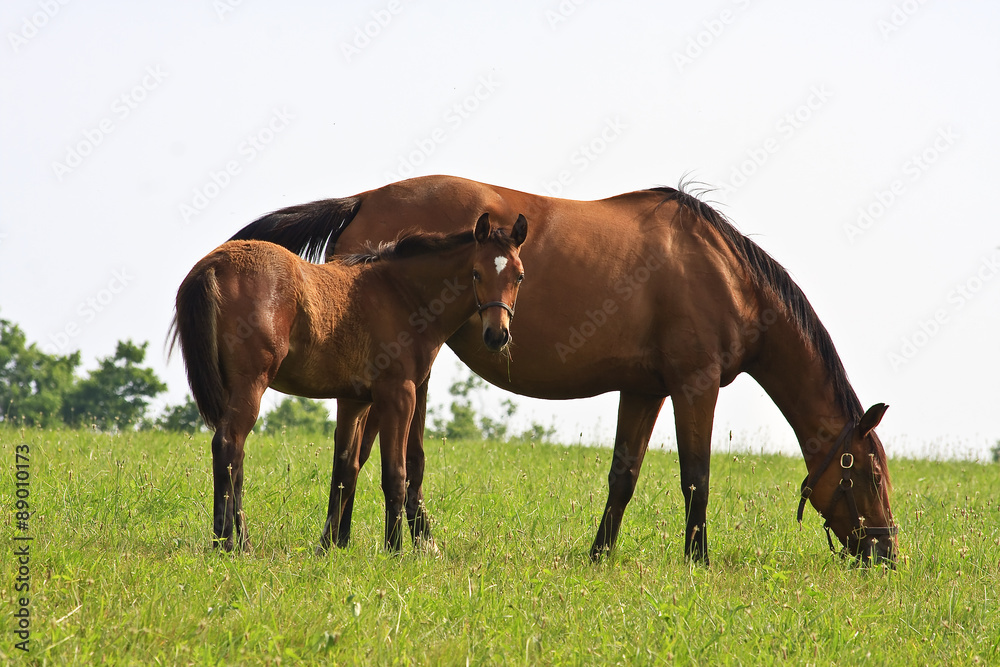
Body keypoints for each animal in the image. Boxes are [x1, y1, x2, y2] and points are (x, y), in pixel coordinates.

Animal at [172, 213, 532, 552]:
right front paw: (394, 550)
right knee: (228, 445)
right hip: (251, 383)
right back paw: (229, 544)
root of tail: (214, 265)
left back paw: (236, 542)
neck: (402, 295)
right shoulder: (399, 394)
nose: (497, 335)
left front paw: (330, 547)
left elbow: (345, 469)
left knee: (237, 456)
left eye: (519, 276)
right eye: (476, 273)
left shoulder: (355, 401)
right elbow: (395, 474)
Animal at [232, 175, 900, 568]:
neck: (721, 272)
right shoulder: (695, 384)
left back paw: (341, 542)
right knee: (377, 452)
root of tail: (364, 200)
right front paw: (698, 560)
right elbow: (696, 478)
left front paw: (600, 553)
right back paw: (388, 541)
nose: (888, 551)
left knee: (362, 452)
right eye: (868, 473)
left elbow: (623, 476)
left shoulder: (644, 389)